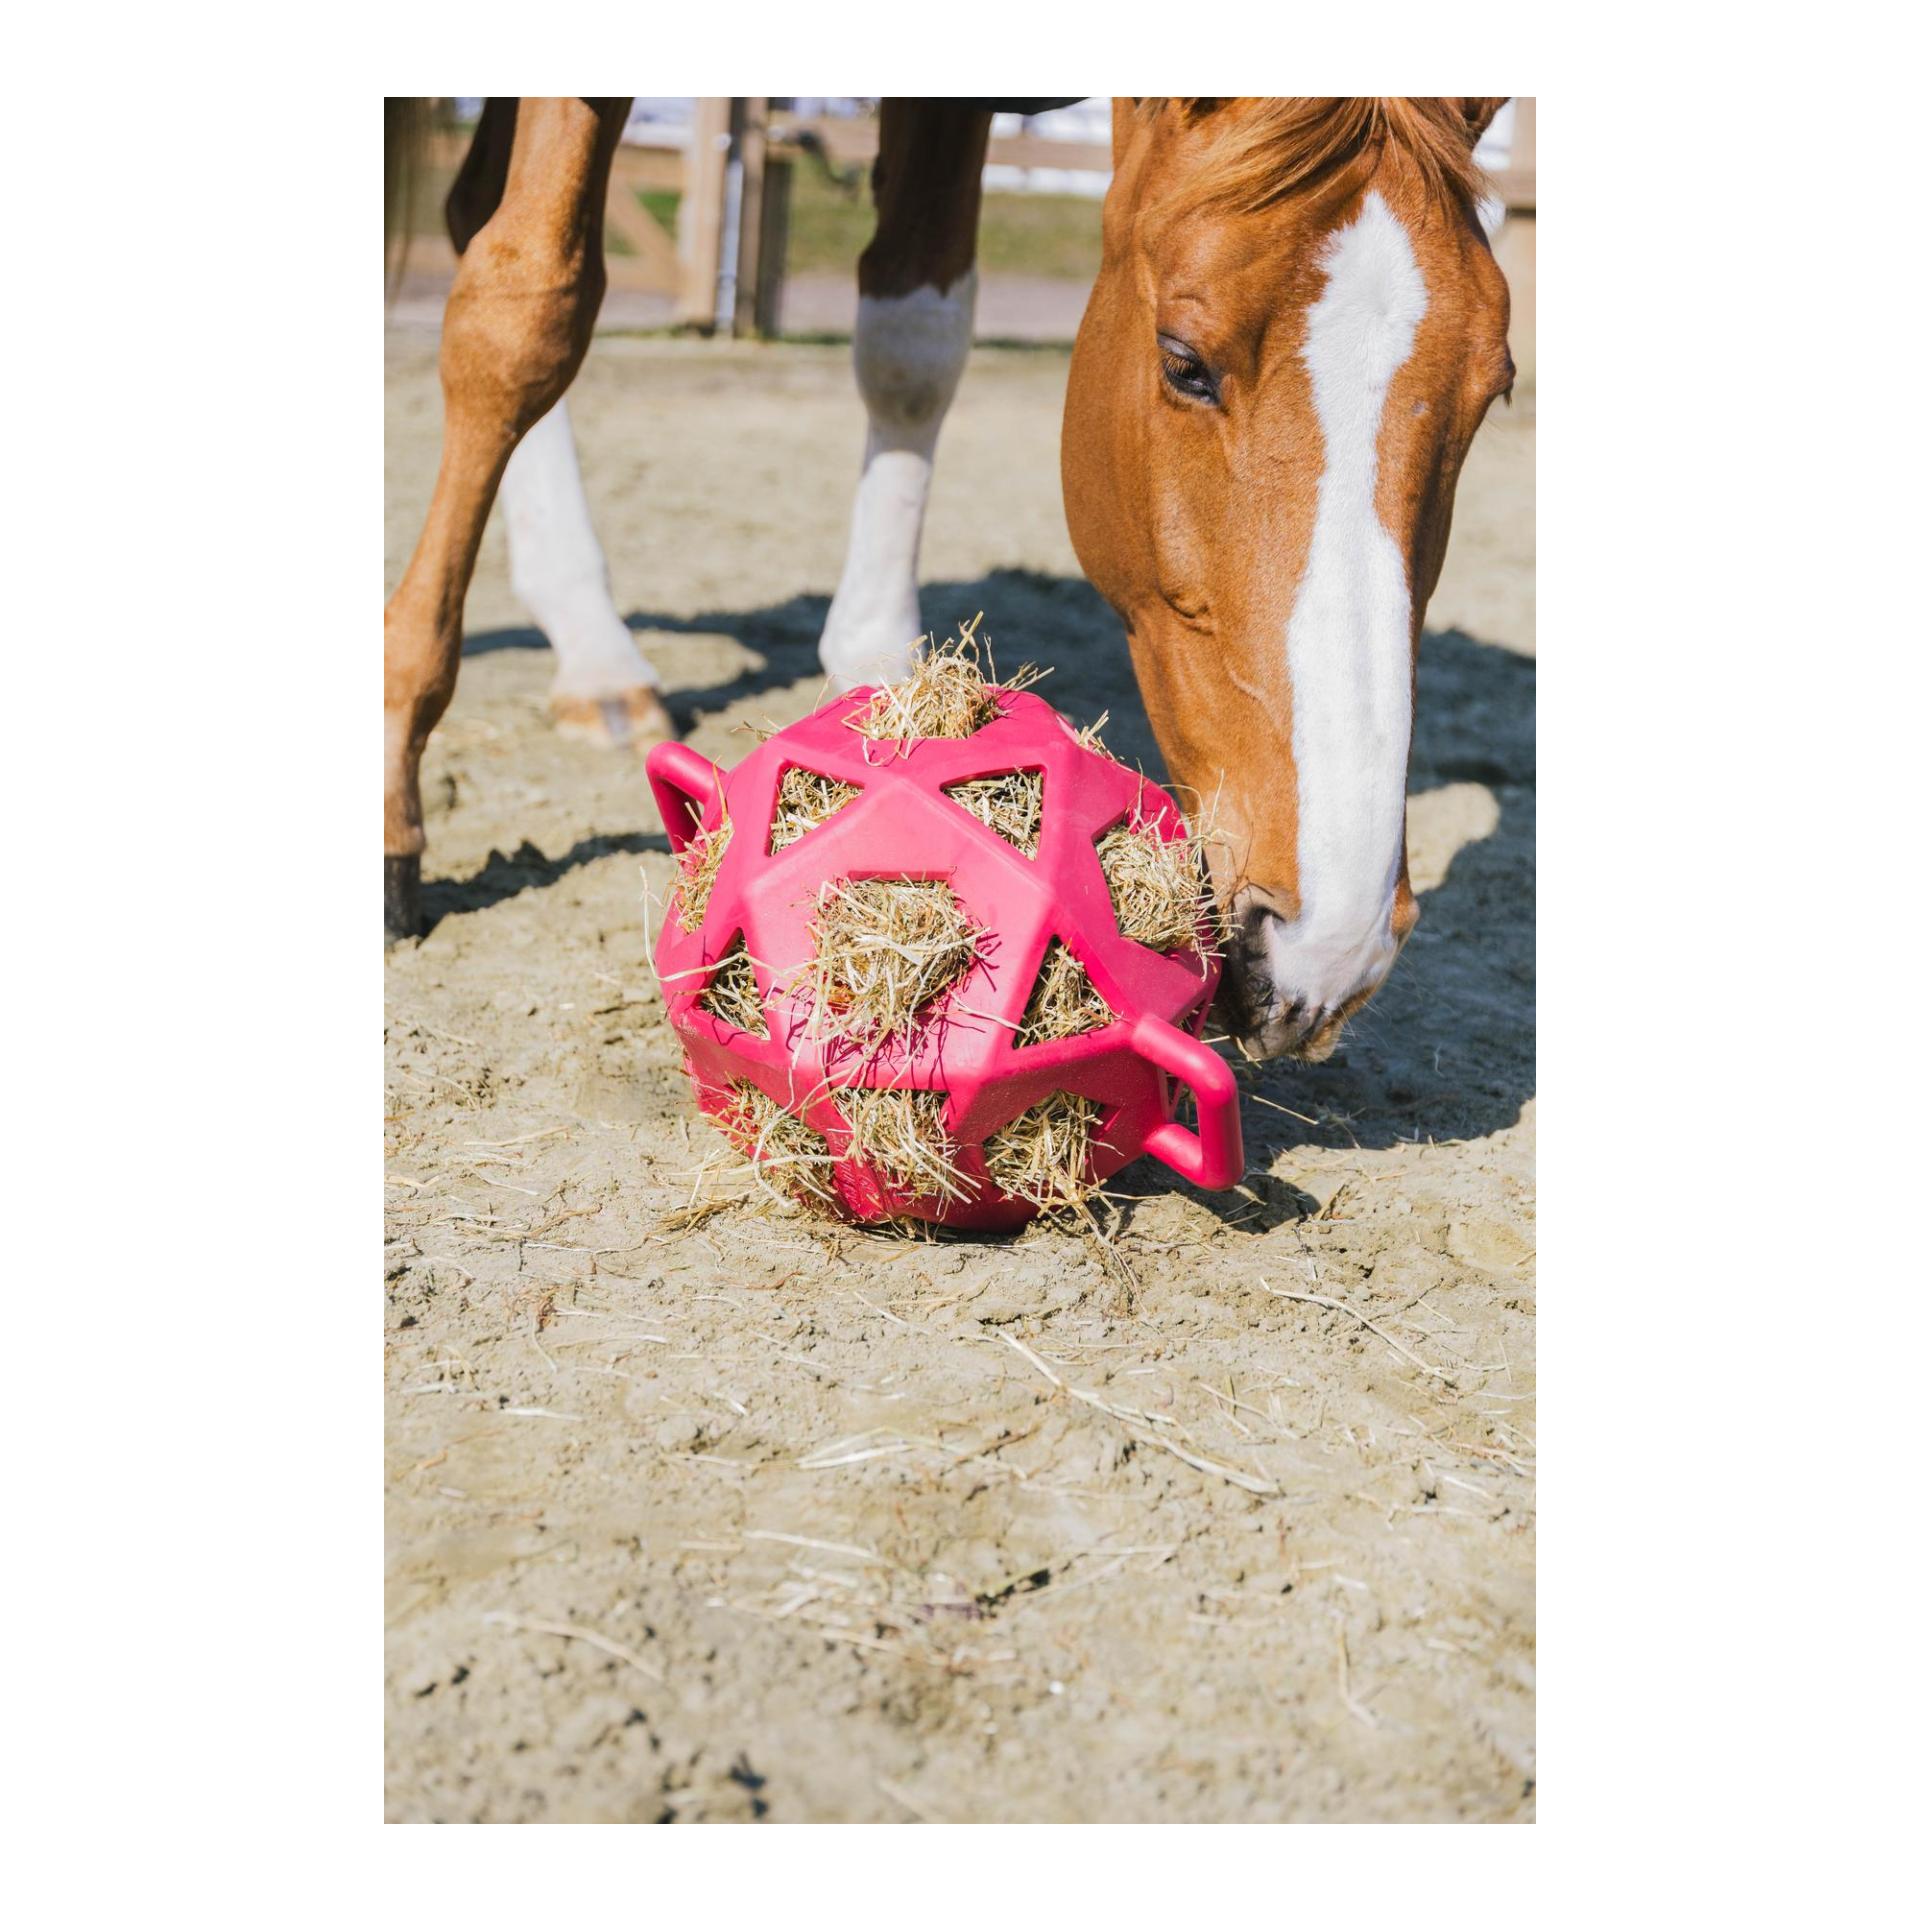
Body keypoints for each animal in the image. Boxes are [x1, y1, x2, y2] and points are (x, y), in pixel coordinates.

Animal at [384, 97, 1512, 1065]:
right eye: (1184, 361)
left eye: (1493, 393)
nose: (1331, 946)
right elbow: (522, 315)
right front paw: (396, 766)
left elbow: (913, 338)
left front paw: (885, 680)